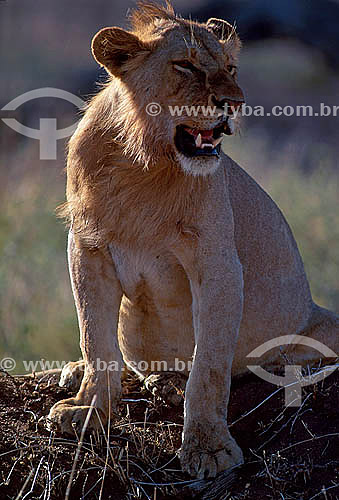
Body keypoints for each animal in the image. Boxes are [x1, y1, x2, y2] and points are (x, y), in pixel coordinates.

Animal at [47, 0, 338, 478]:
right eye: (185, 65)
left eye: (231, 68)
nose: (234, 103)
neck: (143, 165)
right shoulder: (87, 249)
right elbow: (94, 337)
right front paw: (87, 409)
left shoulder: (217, 264)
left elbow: (209, 367)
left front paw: (208, 446)